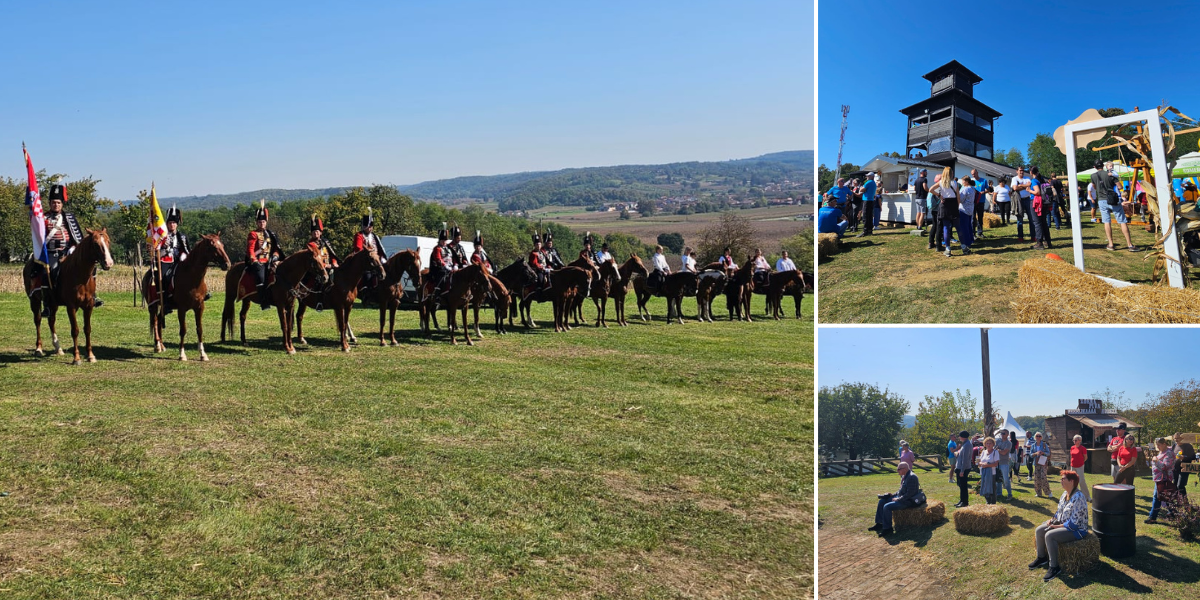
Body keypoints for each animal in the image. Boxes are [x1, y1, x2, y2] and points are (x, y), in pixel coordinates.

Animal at [21, 226, 114, 362]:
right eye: (96, 244)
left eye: (108, 242)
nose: (109, 263)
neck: (80, 275)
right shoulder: (71, 307)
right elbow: (75, 330)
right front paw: (76, 358)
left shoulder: (88, 306)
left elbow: (87, 329)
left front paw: (91, 355)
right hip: (34, 300)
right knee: (38, 320)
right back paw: (38, 348)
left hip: (53, 304)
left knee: (51, 320)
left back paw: (58, 348)